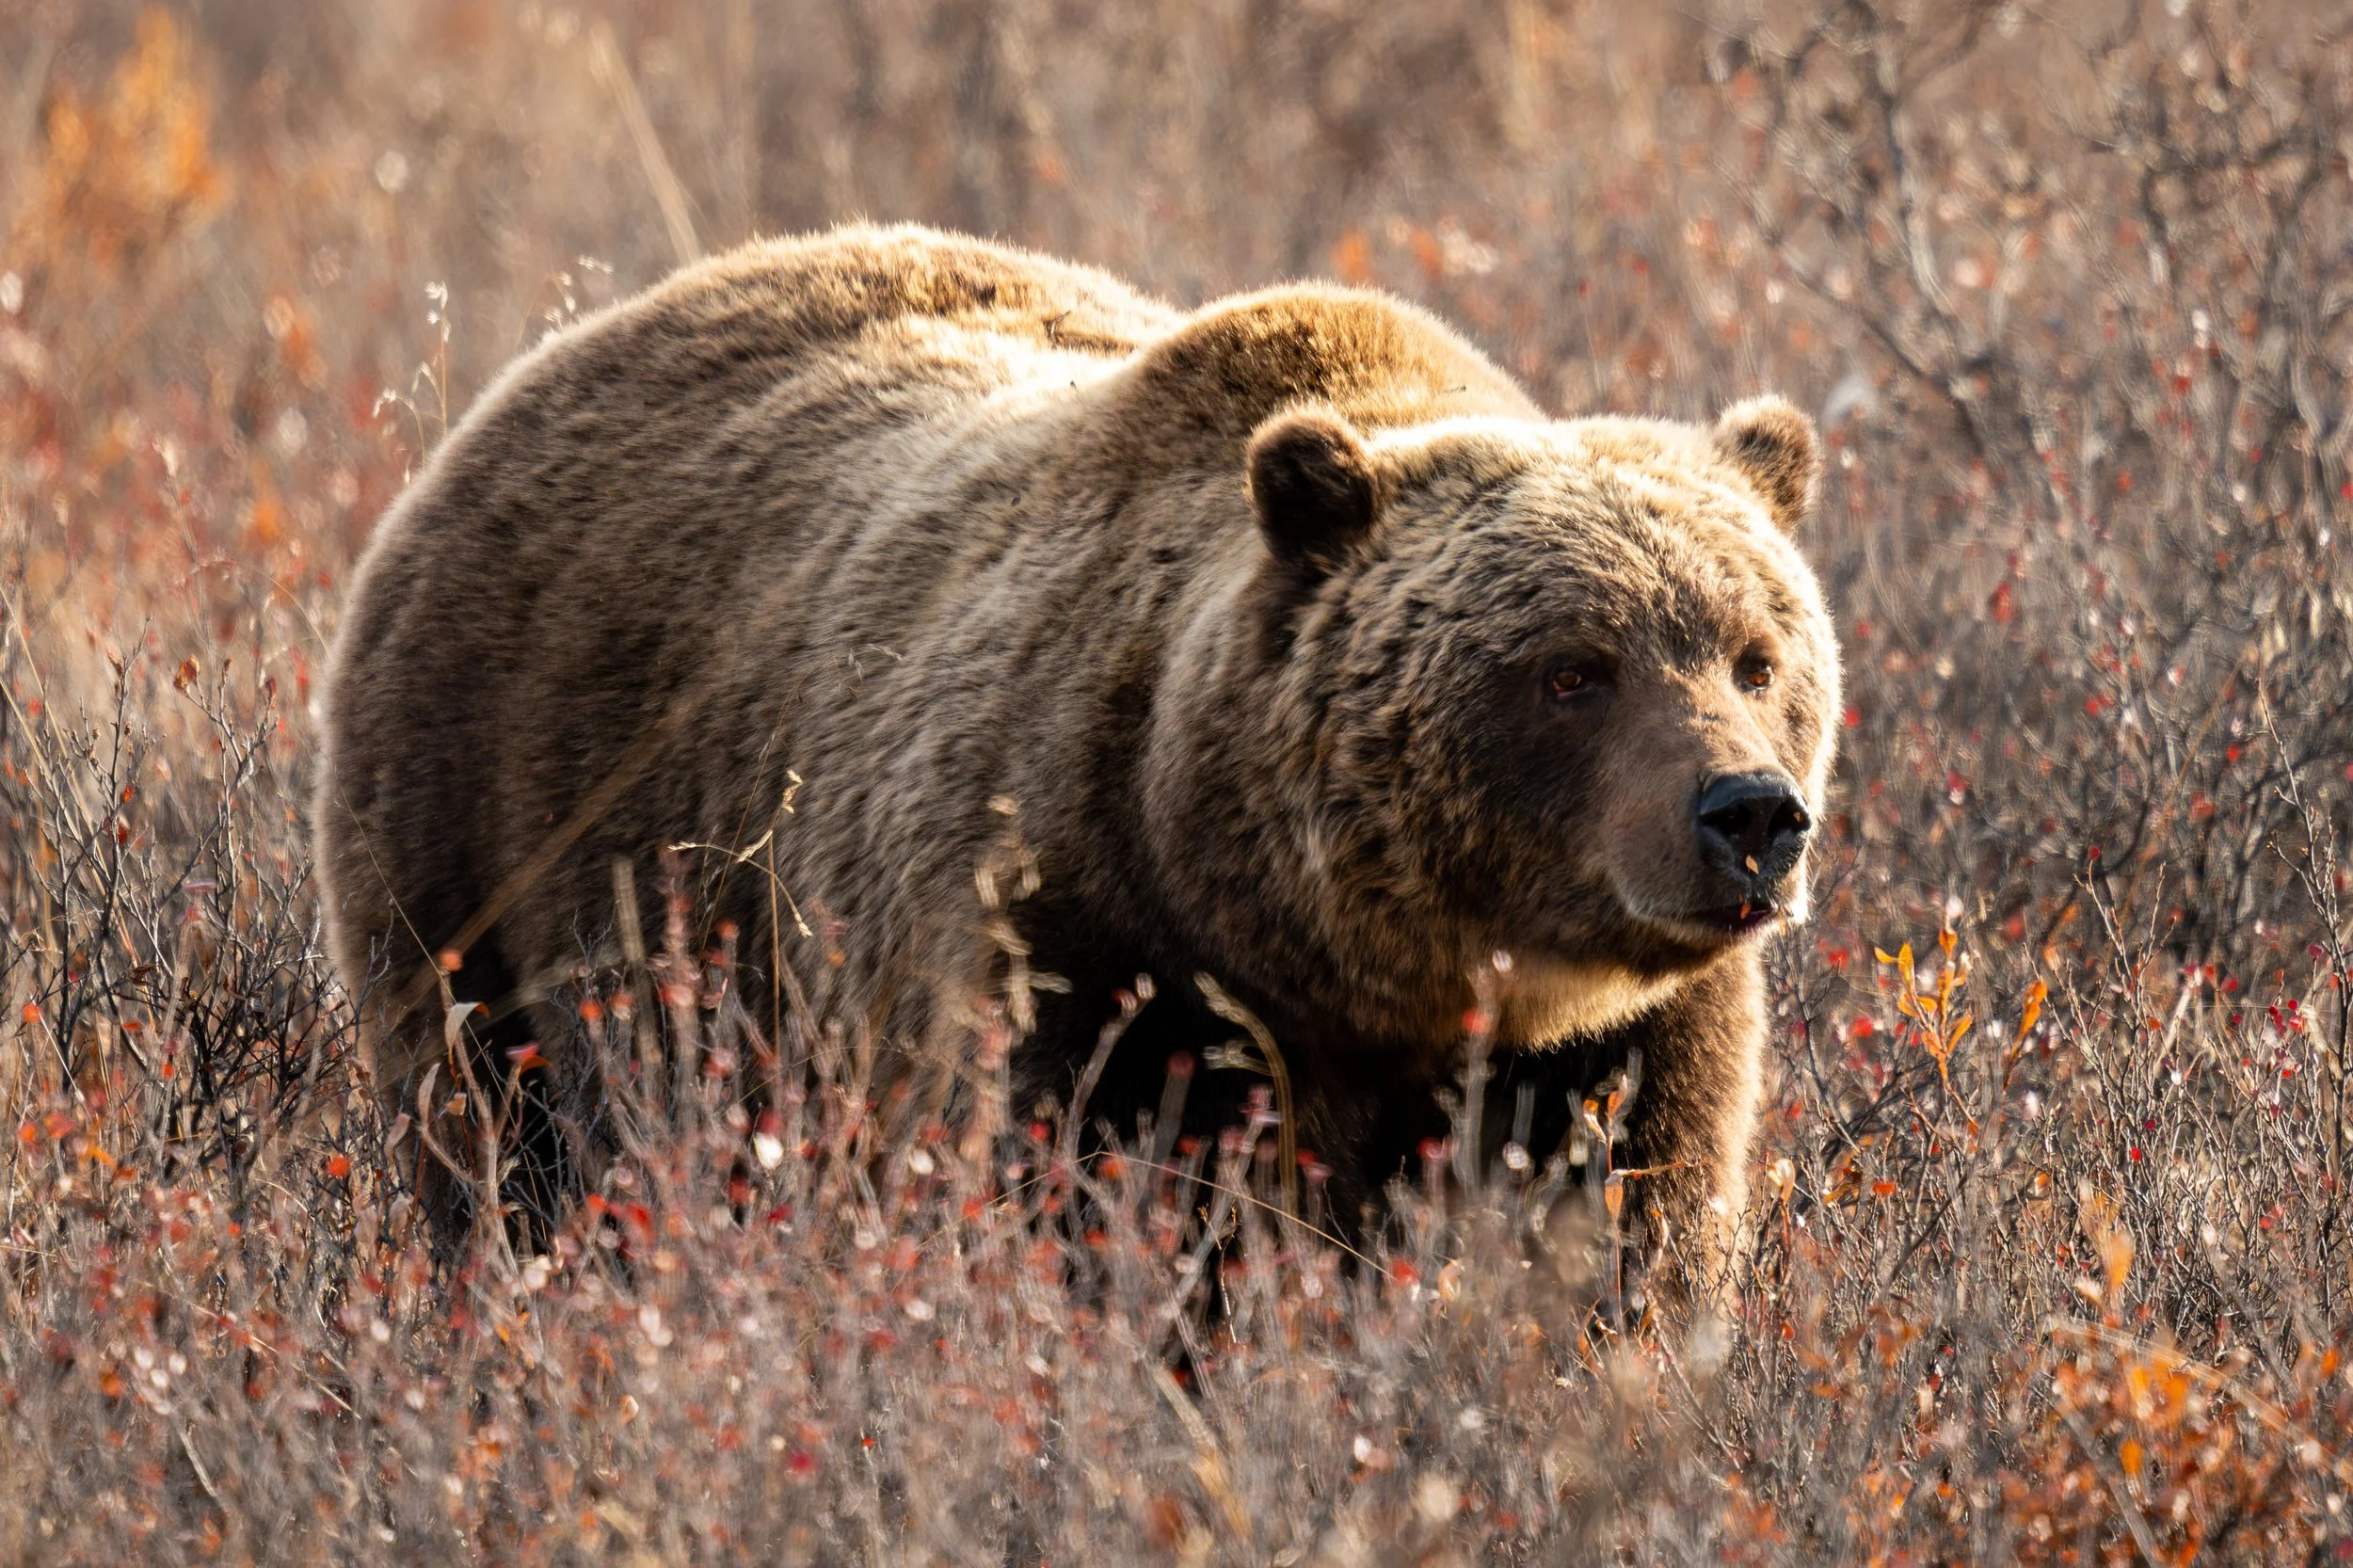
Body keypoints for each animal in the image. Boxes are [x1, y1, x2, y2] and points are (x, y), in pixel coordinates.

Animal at [314, 224, 1838, 1289]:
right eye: (1573, 669)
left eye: (1756, 654)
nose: (1750, 816)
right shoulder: (1088, 943)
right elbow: (1114, 1217)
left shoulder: (1625, 1042)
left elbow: (1636, 1236)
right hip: (495, 863)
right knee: (504, 1150)